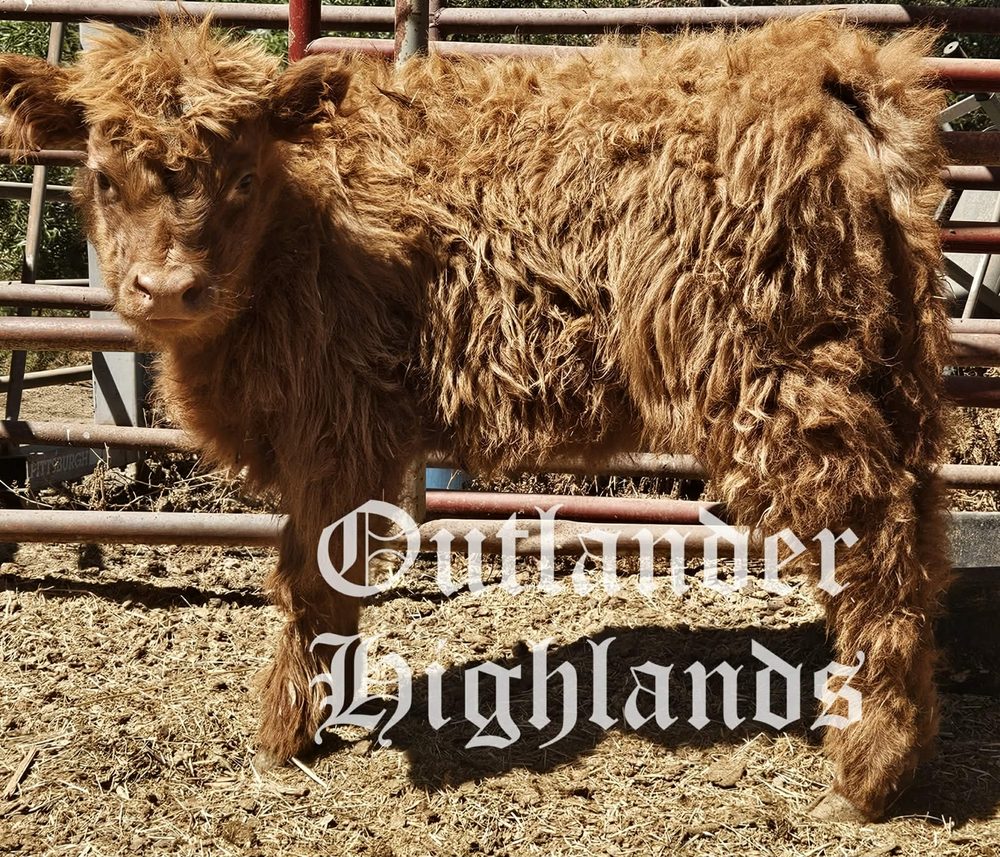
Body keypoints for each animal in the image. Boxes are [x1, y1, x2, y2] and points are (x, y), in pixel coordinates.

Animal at [0, 16, 951, 821]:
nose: (166, 288)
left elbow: (312, 574)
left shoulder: (335, 425)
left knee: (870, 541)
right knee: (917, 526)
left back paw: (865, 771)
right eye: (102, 176)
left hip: (778, 379)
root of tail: (819, 64)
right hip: (890, 371)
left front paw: (288, 729)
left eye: (240, 177)